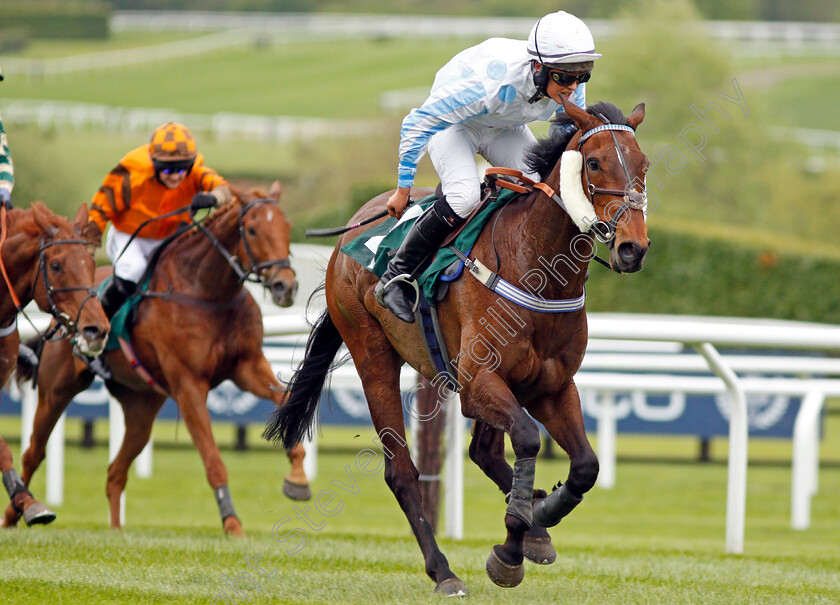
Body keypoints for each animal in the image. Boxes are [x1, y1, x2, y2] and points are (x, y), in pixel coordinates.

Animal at [266, 99, 652, 596]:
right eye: (595, 162)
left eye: (644, 164)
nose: (632, 248)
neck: (538, 269)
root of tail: (350, 231)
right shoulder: (477, 380)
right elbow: (527, 439)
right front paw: (512, 546)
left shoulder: (551, 386)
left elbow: (585, 465)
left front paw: (538, 516)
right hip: (373, 354)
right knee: (402, 472)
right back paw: (444, 571)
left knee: (484, 452)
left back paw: (534, 531)